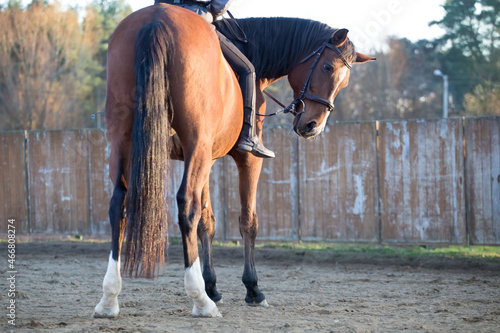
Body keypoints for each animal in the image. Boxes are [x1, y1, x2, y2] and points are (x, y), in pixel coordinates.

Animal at [93, 3, 376, 318]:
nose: (312, 126)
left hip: (125, 140)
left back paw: (109, 299)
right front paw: (252, 289)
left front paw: (213, 287)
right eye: (327, 67)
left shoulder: (207, 158)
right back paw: (200, 300)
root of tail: (158, 19)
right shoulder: (246, 159)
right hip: (195, 143)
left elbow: (207, 222)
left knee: (119, 203)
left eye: (345, 82)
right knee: (186, 205)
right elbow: (247, 220)